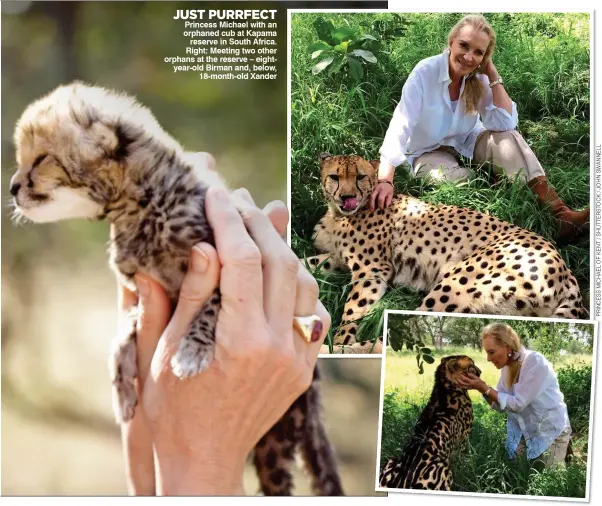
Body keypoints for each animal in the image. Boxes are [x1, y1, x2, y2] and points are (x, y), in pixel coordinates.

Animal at [304, 154, 580, 352]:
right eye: (334, 177)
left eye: (360, 176)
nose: (347, 197)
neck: (341, 214)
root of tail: (565, 268)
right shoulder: (335, 259)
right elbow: (306, 265)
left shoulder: (372, 270)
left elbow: (351, 310)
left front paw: (340, 337)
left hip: (456, 285)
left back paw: (334, 349)